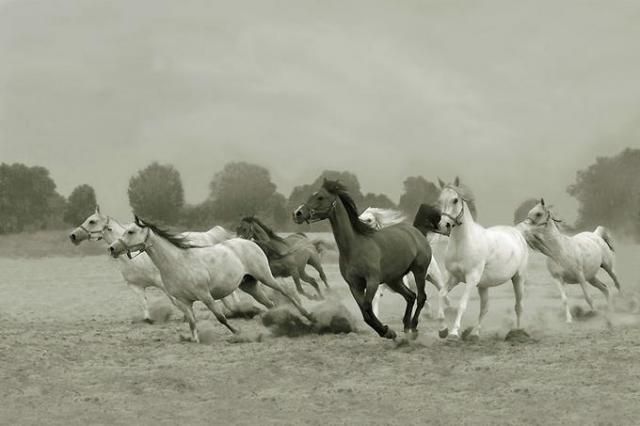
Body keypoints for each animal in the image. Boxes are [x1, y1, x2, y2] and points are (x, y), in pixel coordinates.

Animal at [69, 206, 239, 322]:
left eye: (92, 221)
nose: (73, 236)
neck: (135, 259)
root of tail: (209, 234)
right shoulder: (135, 286)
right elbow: (144, 303)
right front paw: (148, 319)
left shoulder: (162, 283)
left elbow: (175, 301)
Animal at [108, 216, 313, 342]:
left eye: (131, 231)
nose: (112, 248)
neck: (178, 262)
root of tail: (250, 242)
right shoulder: (184, 301)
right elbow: (192, 323)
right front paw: (194, 340)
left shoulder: (205, 295)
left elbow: (220, 317)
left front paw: (237, 333)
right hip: (249, 285)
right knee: (270, 304)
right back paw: (277, 322)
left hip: (265, 276)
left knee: (287, 291)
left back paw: (307, 314)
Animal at [293, 179, 432, 340]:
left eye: (320, 197)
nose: (297, 213)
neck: (354, 247)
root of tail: (416, 232)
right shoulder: (354, 285)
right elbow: (365, 314)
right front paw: (386, 331)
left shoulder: (372, 281)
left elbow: (367, 307)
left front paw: (387, 331)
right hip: (394, 279)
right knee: (410, 296)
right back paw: (406, 326)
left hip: (419, 271)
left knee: (421, 297)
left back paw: (413, 327)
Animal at [436, 177, 529, 340]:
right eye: (440, 200)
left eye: (455, 200)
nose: (443, 225)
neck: (462, 243)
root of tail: (517, 232)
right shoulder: (454, 278)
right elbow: (441, 295)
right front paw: (442, 330)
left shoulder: (471, 279)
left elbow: (462, 304)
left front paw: (454, 332)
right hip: (484, 285)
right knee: (485, 308)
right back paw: (475, 334)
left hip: (518, 278)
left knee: (519, 306)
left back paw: (517, 333)